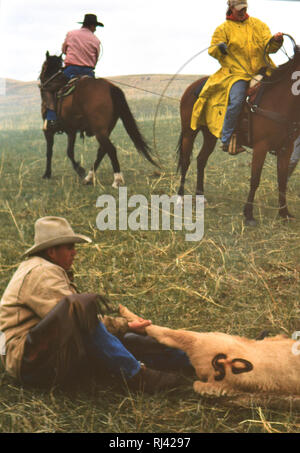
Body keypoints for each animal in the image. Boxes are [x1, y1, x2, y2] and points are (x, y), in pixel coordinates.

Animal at [39, 53, 158, 185]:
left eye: (45, 69)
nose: (43, 84)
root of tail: (110, 87)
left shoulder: (49, 131)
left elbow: (50, 152)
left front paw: (48, 174)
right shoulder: (71, 130)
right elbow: (69, 151)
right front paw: (79, 170)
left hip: (99, 131)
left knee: (110, 149)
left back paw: (117, 179)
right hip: (105, 130)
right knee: (102, 150)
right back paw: (89, 177)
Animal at [176, 47, 300, 224]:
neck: (280, 101)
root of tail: (192, 87)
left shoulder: (286, 148)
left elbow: (282, 180)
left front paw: (285, 213)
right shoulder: (261, 146)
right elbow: (255, 179)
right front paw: (248, 215)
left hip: (210, 135)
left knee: (201, 160)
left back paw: (201, 197)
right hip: (189, 132)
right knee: (186, 161)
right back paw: (180, 198)